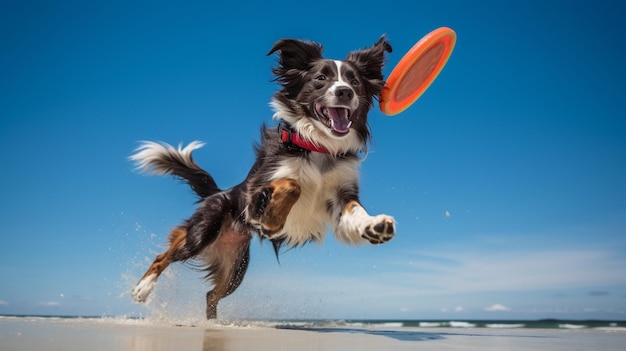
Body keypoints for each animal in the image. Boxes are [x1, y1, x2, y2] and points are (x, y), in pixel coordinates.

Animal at [130, 37, 394, 320]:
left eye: (354, 81)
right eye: (321, 78)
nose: (345, 92)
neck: (318, 147)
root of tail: (218, 192)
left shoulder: (341, 194)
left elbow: (355, 210)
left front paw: (374, 225)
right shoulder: (255, 191)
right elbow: (293, 184)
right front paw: (273, 219)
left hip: (236, 265)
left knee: (211, 295)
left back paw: (213, 323)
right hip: (202, 233)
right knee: (164, 255)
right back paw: (143, 288)